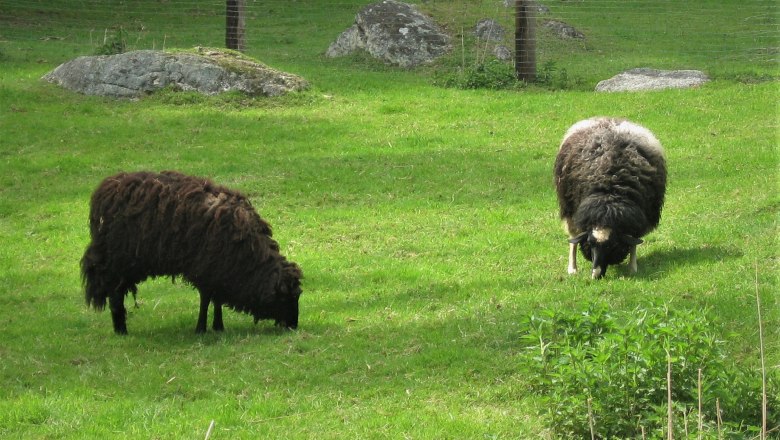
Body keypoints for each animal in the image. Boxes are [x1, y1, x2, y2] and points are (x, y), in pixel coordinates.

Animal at [81, 171, 302, 334]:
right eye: (286, 298)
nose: (294, 326)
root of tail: (105, 189)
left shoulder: (218, 269)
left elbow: (216, 299)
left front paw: (218, 327)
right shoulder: (204, 267)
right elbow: (206, 300)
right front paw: (201, 329)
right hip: (118, 260)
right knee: (115, 293)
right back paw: (121, 330)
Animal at [552, 117, 668, 278]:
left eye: (612, 245)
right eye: (590, 243)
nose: (596, 275)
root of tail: (608, 119)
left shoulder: (636, 217)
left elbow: (633, 241)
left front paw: (632, 268)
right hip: (569, 208)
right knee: (573, 236)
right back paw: (572, 268)